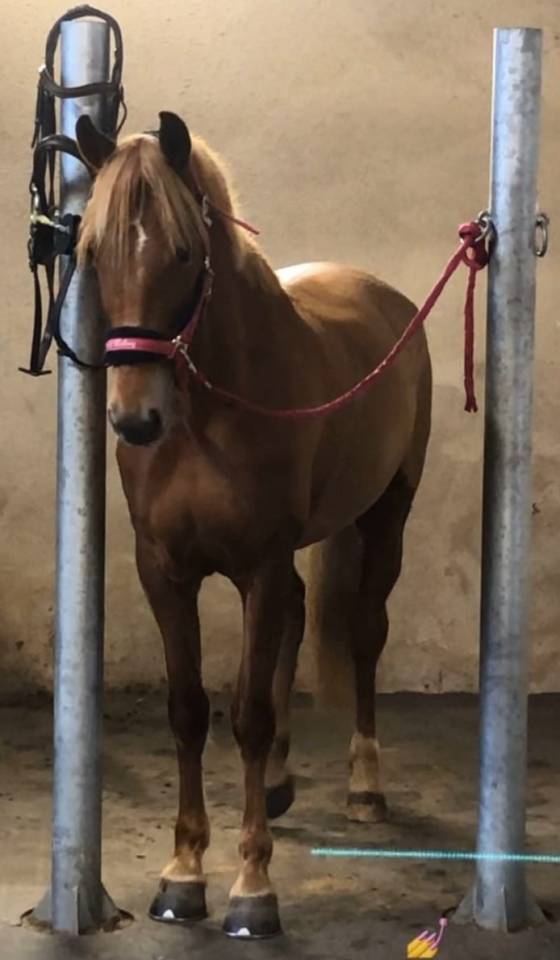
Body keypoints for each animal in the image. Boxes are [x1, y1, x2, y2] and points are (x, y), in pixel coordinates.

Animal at [75, 110, 432, 938]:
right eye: (92, 251)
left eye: (182, 253)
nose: (135, 419)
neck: (208, 413)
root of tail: (385, 297)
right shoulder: (163, 571)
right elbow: (187, 711)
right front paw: (182, 875)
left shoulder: (258, 568)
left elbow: (248, 713)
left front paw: (250, 888)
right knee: (303, 614)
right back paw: (276, 782)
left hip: (387, 516)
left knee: (363, 633)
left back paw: (364, 785)